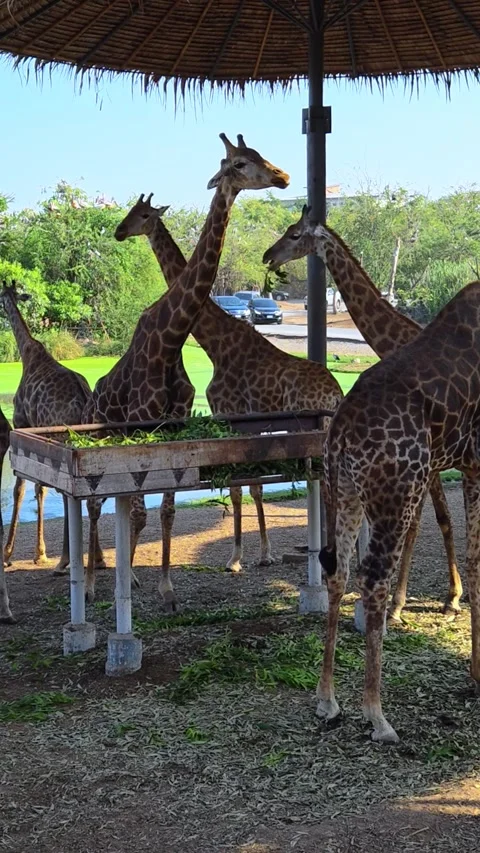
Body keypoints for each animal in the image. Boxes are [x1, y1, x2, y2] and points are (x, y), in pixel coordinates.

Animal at [0, 281, 103, 574]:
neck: (26, 351)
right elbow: (41, 489)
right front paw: (41, 553)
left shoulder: (21, 426)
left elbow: (22, 489)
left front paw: (11, 552)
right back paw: (95, 558)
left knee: (72, 493)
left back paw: (67, 560)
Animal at [82, 132, 290, 606]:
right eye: (237, 163)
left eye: (258, 155)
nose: (284, 176)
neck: (172, 338)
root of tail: (93, 397)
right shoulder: (143, 427)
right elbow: (140, 510)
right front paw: (133, 581)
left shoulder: (175, 425)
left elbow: (167, 510)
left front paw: (164, 585)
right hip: (104, 433)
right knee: (95, 502)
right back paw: (90, 582)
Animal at [113, 193, 343, 574]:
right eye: (129, 211)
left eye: (142, 215)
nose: (119, 231)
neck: (216, 345)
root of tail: (337, 394)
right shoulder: (251, 425)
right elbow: (254, 486)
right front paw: (262, 553)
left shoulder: (229, 414)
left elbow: (238, 487)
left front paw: (236, 558)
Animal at [262, 207, 462, 621]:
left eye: (294, 234)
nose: (267, 256)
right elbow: (438, 520)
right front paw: (446, 596)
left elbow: (429, 521)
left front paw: (412, 602)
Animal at [304, 280, 480, 743]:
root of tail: (341, 429)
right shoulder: (477, 463)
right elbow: (476, 561)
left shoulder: (470, 465)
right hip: (397, 491)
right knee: (373, 578)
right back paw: (377, 716)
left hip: (345, 491)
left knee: (339, 570)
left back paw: (327, 701)